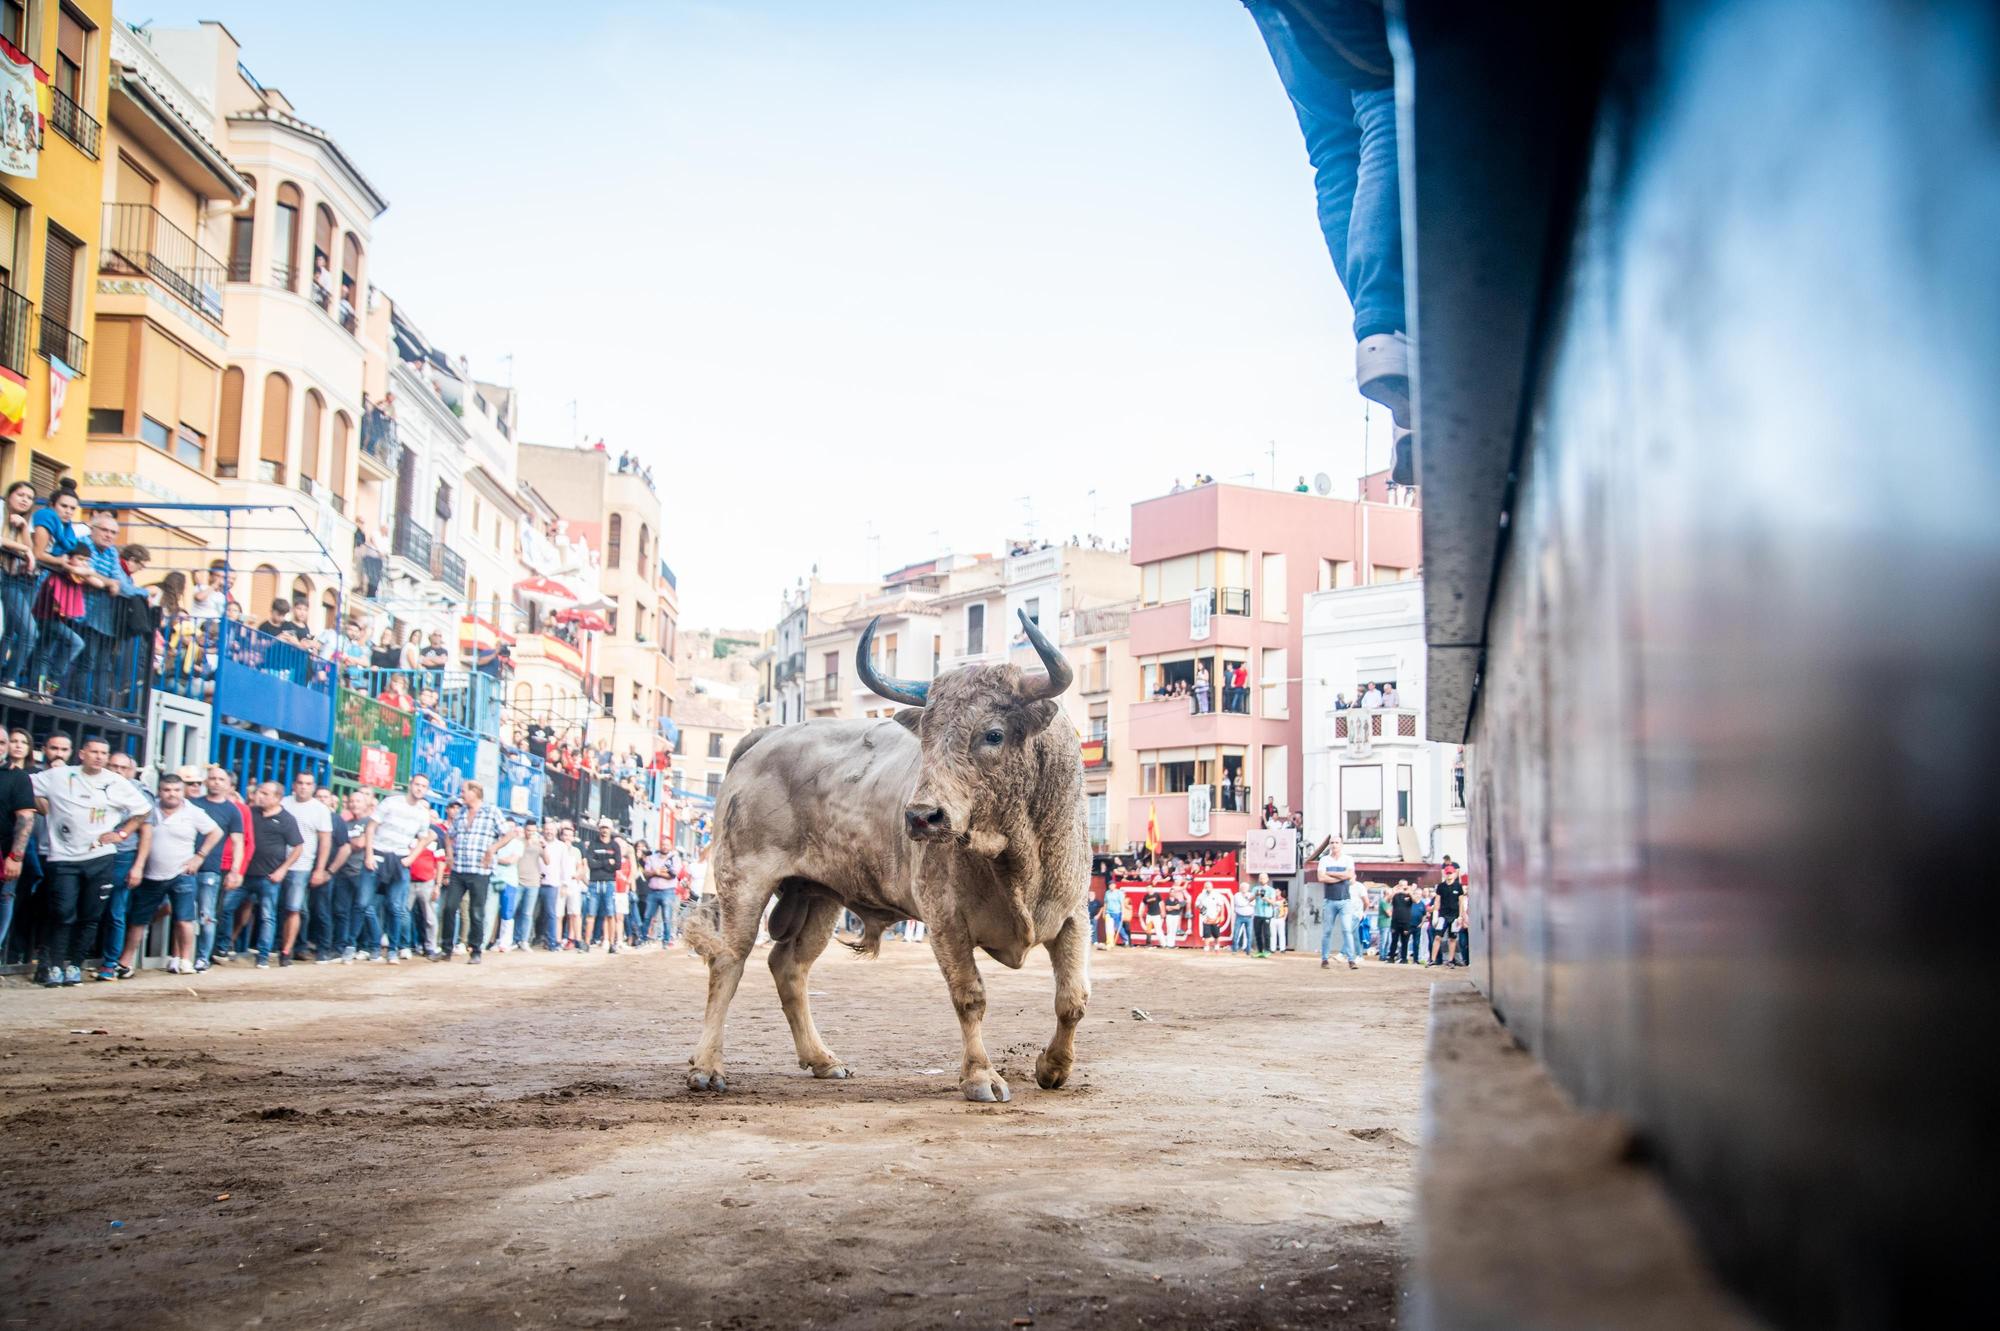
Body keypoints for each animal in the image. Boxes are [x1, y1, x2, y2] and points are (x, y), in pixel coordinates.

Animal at [680, 607, 1088, 1095]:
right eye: (926, 738)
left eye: (993, 734)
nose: (922, 816)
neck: (1016, 852)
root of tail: (765, 738)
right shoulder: (945, 919)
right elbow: (970, 995)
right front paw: (980, 1077)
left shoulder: (1073, 915)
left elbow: (1072, 999)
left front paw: (1054, 1067)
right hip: (744, 883)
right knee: (729, 960)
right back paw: (707, 1067)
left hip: (817, 896)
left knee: (789, 966)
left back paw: (822, 1059)